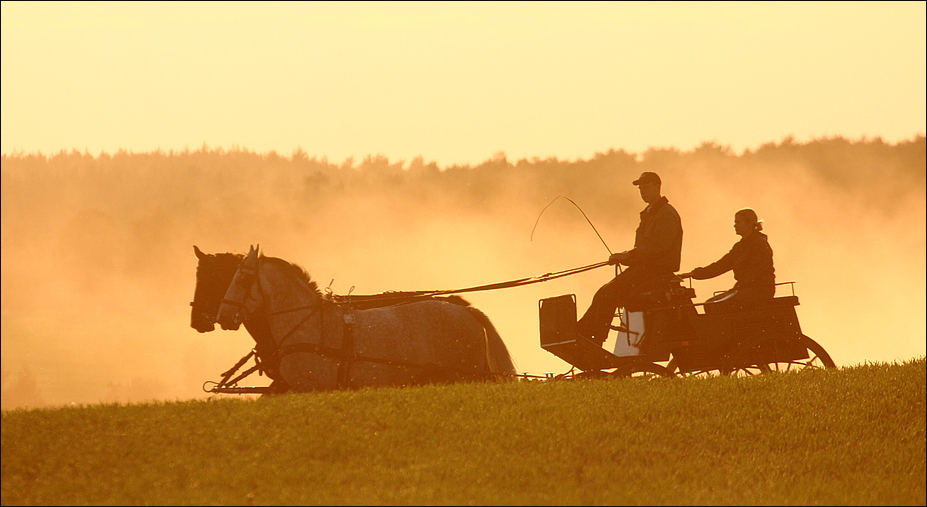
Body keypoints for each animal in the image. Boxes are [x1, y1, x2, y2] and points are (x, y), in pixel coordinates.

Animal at [218, 246, 520, 392]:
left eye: (242, 278)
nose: (223, 317)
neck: (307, 325)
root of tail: (466, 311)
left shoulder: (306, 388)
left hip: (463, 376)